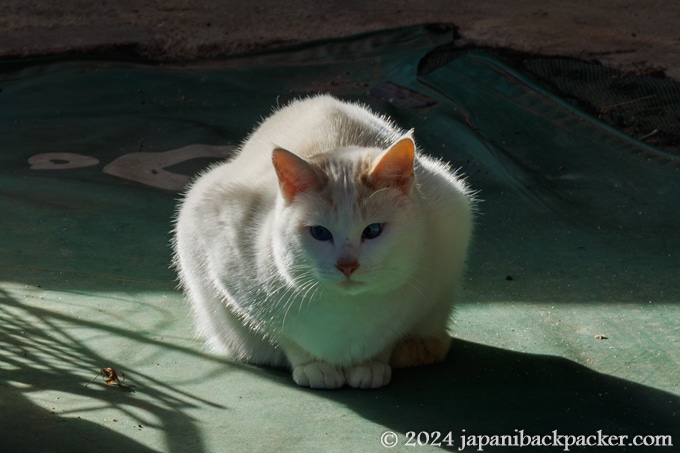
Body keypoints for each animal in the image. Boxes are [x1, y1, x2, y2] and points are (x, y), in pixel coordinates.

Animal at [175, 95, 472, 388]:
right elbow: (286, 337)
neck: (344, 310)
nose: (347, 265)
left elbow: (390, 335)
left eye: (373, 230)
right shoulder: (222, 256)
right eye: (320, 233)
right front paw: (314, 366)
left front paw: (371, 364)